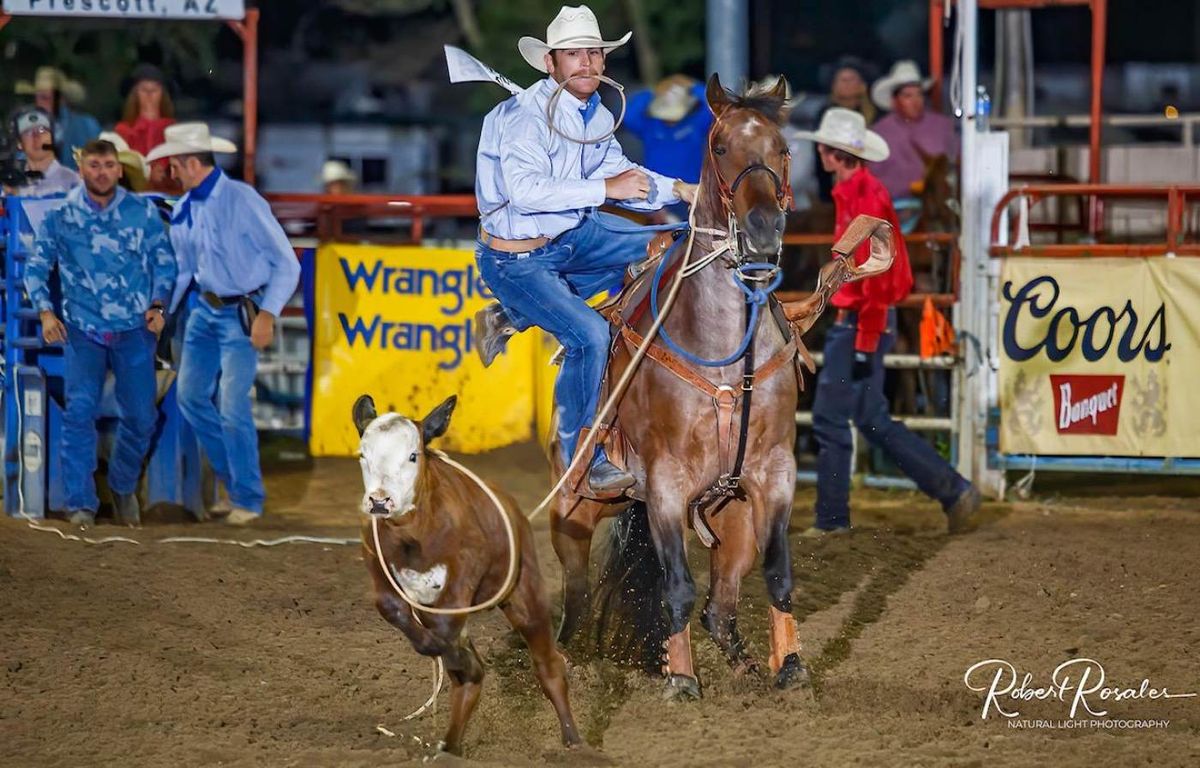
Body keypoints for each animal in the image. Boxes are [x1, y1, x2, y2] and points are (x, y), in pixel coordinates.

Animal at [350, 396, 580, 758]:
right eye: (363, 454)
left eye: (413, 455)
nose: (380, 501)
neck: (413, 535)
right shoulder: (376, 562)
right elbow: (391, 607)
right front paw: (451, 654)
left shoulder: (466, 567)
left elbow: (449, 624)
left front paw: (453, 653)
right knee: (467, 681)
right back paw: (450, 745)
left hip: (525, 595)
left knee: (549, 667)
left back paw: (574, 742)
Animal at [552, 75, 816, 700]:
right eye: (720, 146)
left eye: (782, 148)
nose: (763, 230)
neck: (725, 358)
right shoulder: (666, 484)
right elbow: (675, 585)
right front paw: (680, 678)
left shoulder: (776, 472)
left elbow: (779, 572)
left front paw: (791, 665)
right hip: (577, 509)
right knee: (576, 595)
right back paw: (568, 657)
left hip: (730, 517)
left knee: (720, 609)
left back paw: (746, 664)